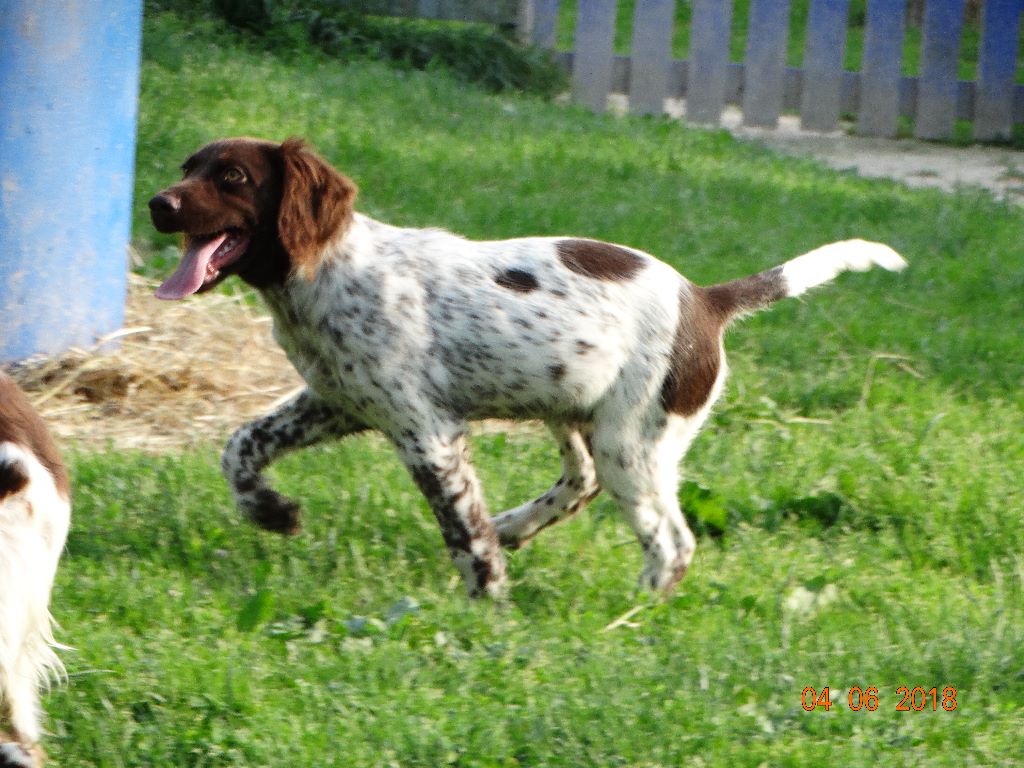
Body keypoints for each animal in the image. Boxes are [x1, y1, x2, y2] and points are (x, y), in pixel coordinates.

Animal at [149, 140, 905, 602]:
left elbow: (463, 532)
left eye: (232, 178)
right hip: (572, 408)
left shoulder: (427, 433)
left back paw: (633, 616)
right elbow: (240, 446)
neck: (323, 270)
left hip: (634, 440)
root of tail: (708, 300)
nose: (159, 204)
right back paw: (519, 525)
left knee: (671, 542)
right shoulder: (335, 400)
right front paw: (271, 512)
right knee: (581, 483)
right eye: (187, 167)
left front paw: (489, 604)